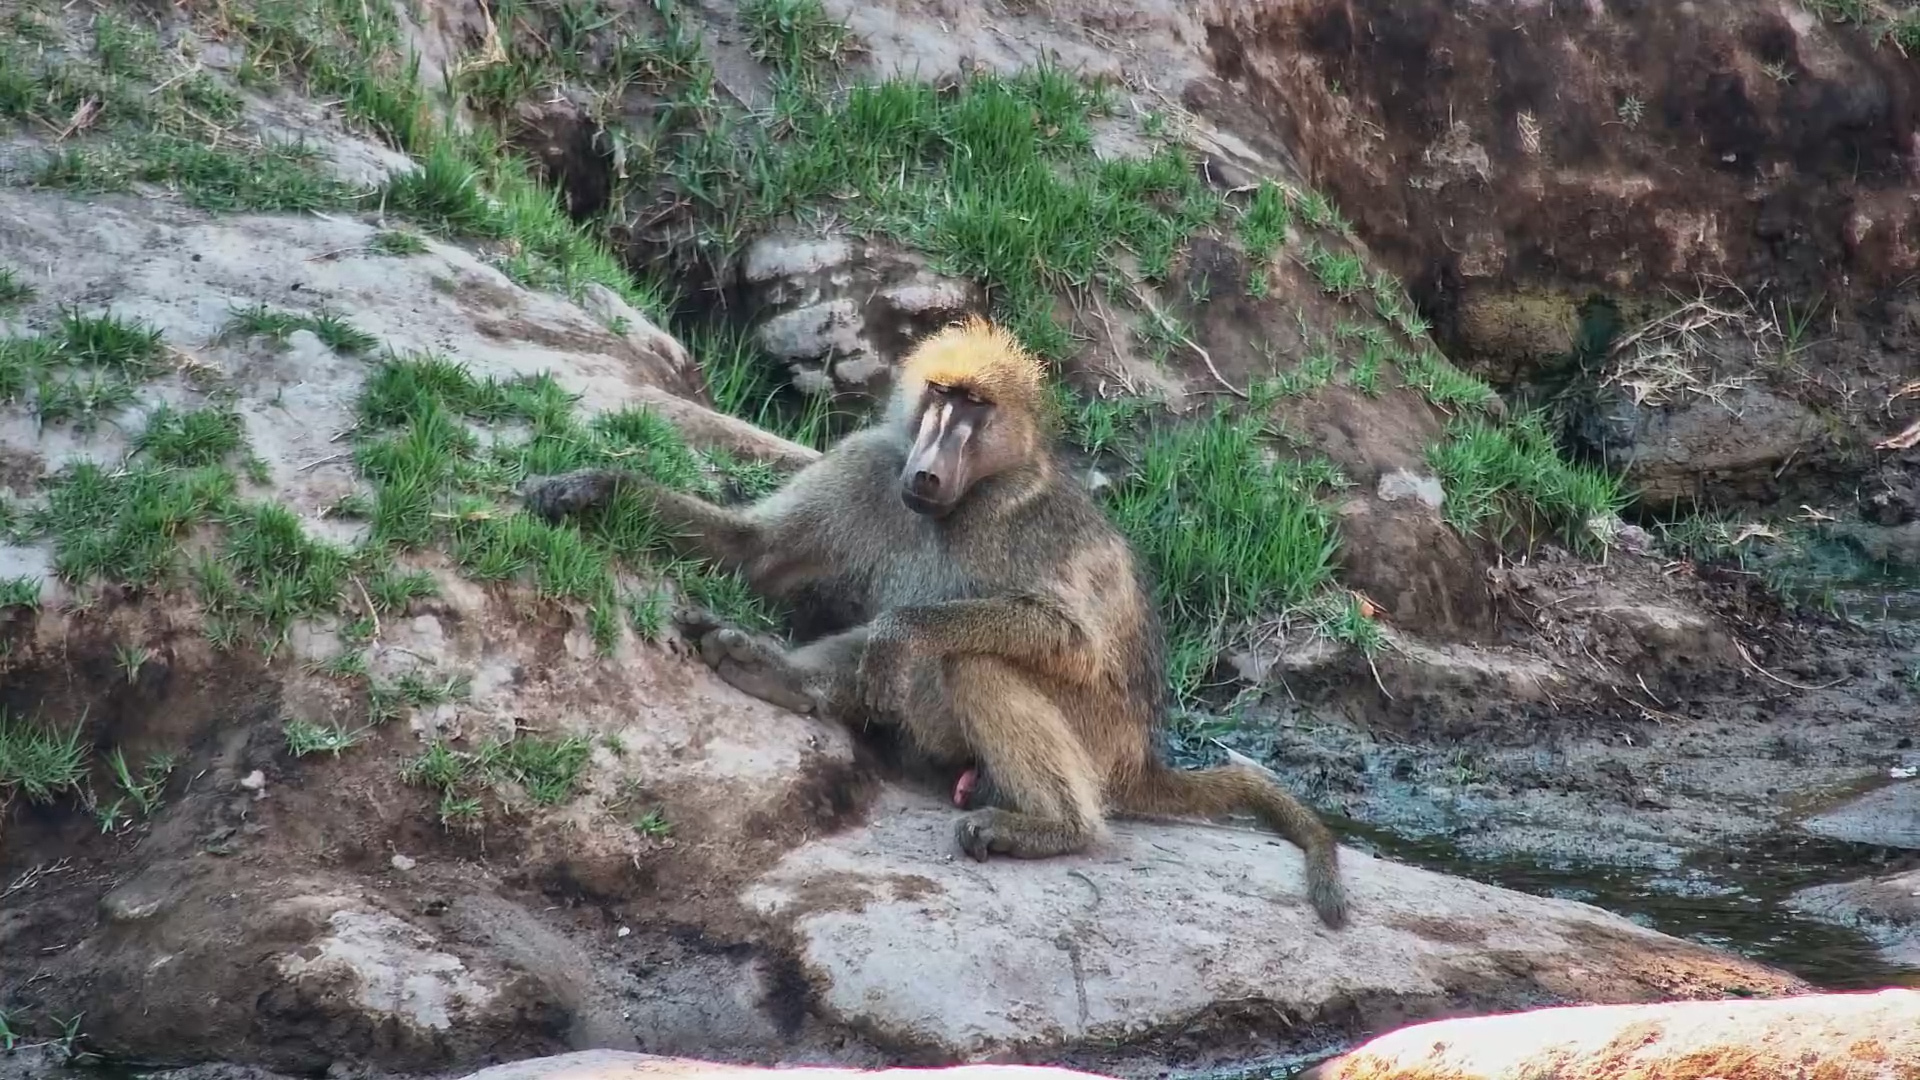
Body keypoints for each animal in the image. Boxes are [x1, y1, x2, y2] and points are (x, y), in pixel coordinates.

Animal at [523, 316, 1349, 929]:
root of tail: (1143, 759)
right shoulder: (867, 465)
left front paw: (899, 636)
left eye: (976, 410)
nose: (926, 468)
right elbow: (752, 550)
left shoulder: (1028, 523)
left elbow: (1066, 638)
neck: (960, 503)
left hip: (1100, 738)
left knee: (973, 660)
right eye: (939, 397)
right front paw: (588, 488)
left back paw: (1053, 828)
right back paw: (776, 674)